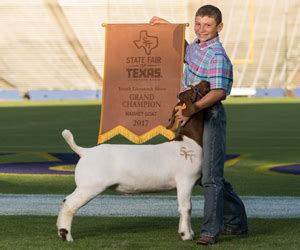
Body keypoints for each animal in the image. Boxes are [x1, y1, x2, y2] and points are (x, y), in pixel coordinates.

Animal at [56, 80, 211, 242]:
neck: (189, 141)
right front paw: (186, 235)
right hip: (90, 186)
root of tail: (84, 151)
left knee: (65, 200)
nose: (206, 82)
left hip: (84, 186)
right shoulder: (185, 181)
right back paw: (67, 236)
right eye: (194, 90)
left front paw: (188, 232)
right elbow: (186, 207)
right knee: (70, 205)